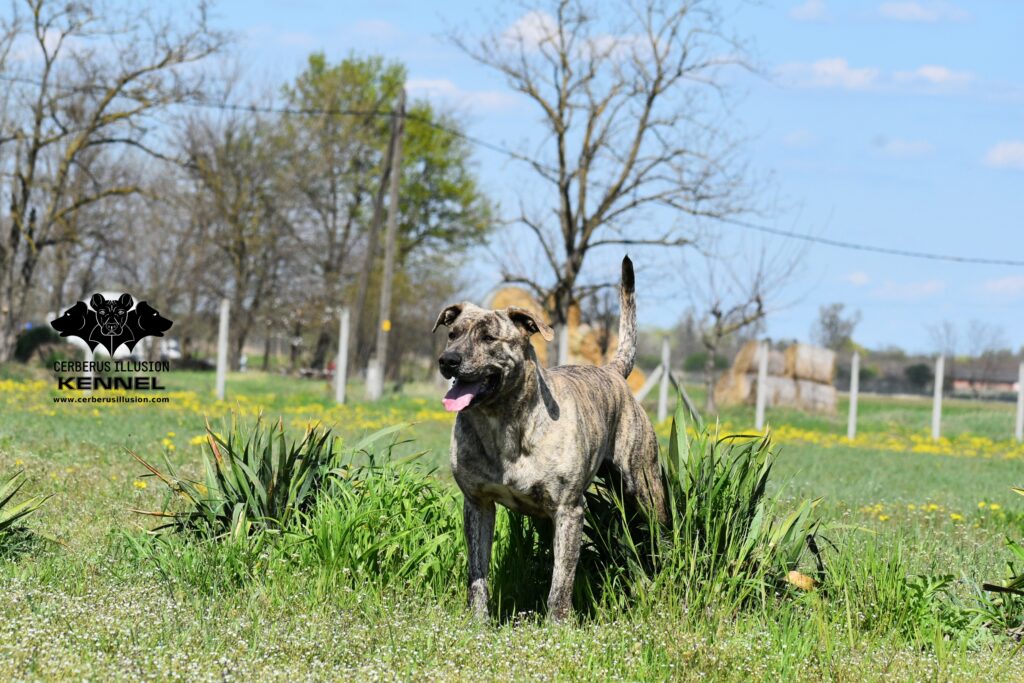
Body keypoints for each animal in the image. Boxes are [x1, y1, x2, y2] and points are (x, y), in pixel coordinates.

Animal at [430, 254, 663, 618]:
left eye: (489, 338)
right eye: (452, 334)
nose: (448, 360)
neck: (503, 423)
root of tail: (611, 370)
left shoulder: (569, 510)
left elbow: (561, 582)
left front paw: (557, 624)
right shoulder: (478, 505)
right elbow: (478, 573)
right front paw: (478, 621)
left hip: (643, 484)